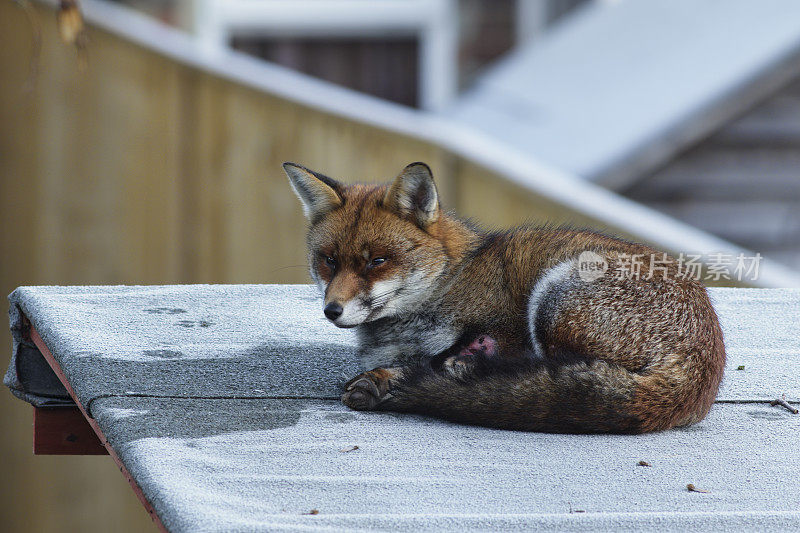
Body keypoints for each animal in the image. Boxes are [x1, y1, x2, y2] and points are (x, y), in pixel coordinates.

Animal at [282, 159, 724, 432]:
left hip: (553, 298)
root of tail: (704, 360)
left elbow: (449, 361)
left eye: (377, 261)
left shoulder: (506, 326)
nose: (332, 310)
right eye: (328, 261)